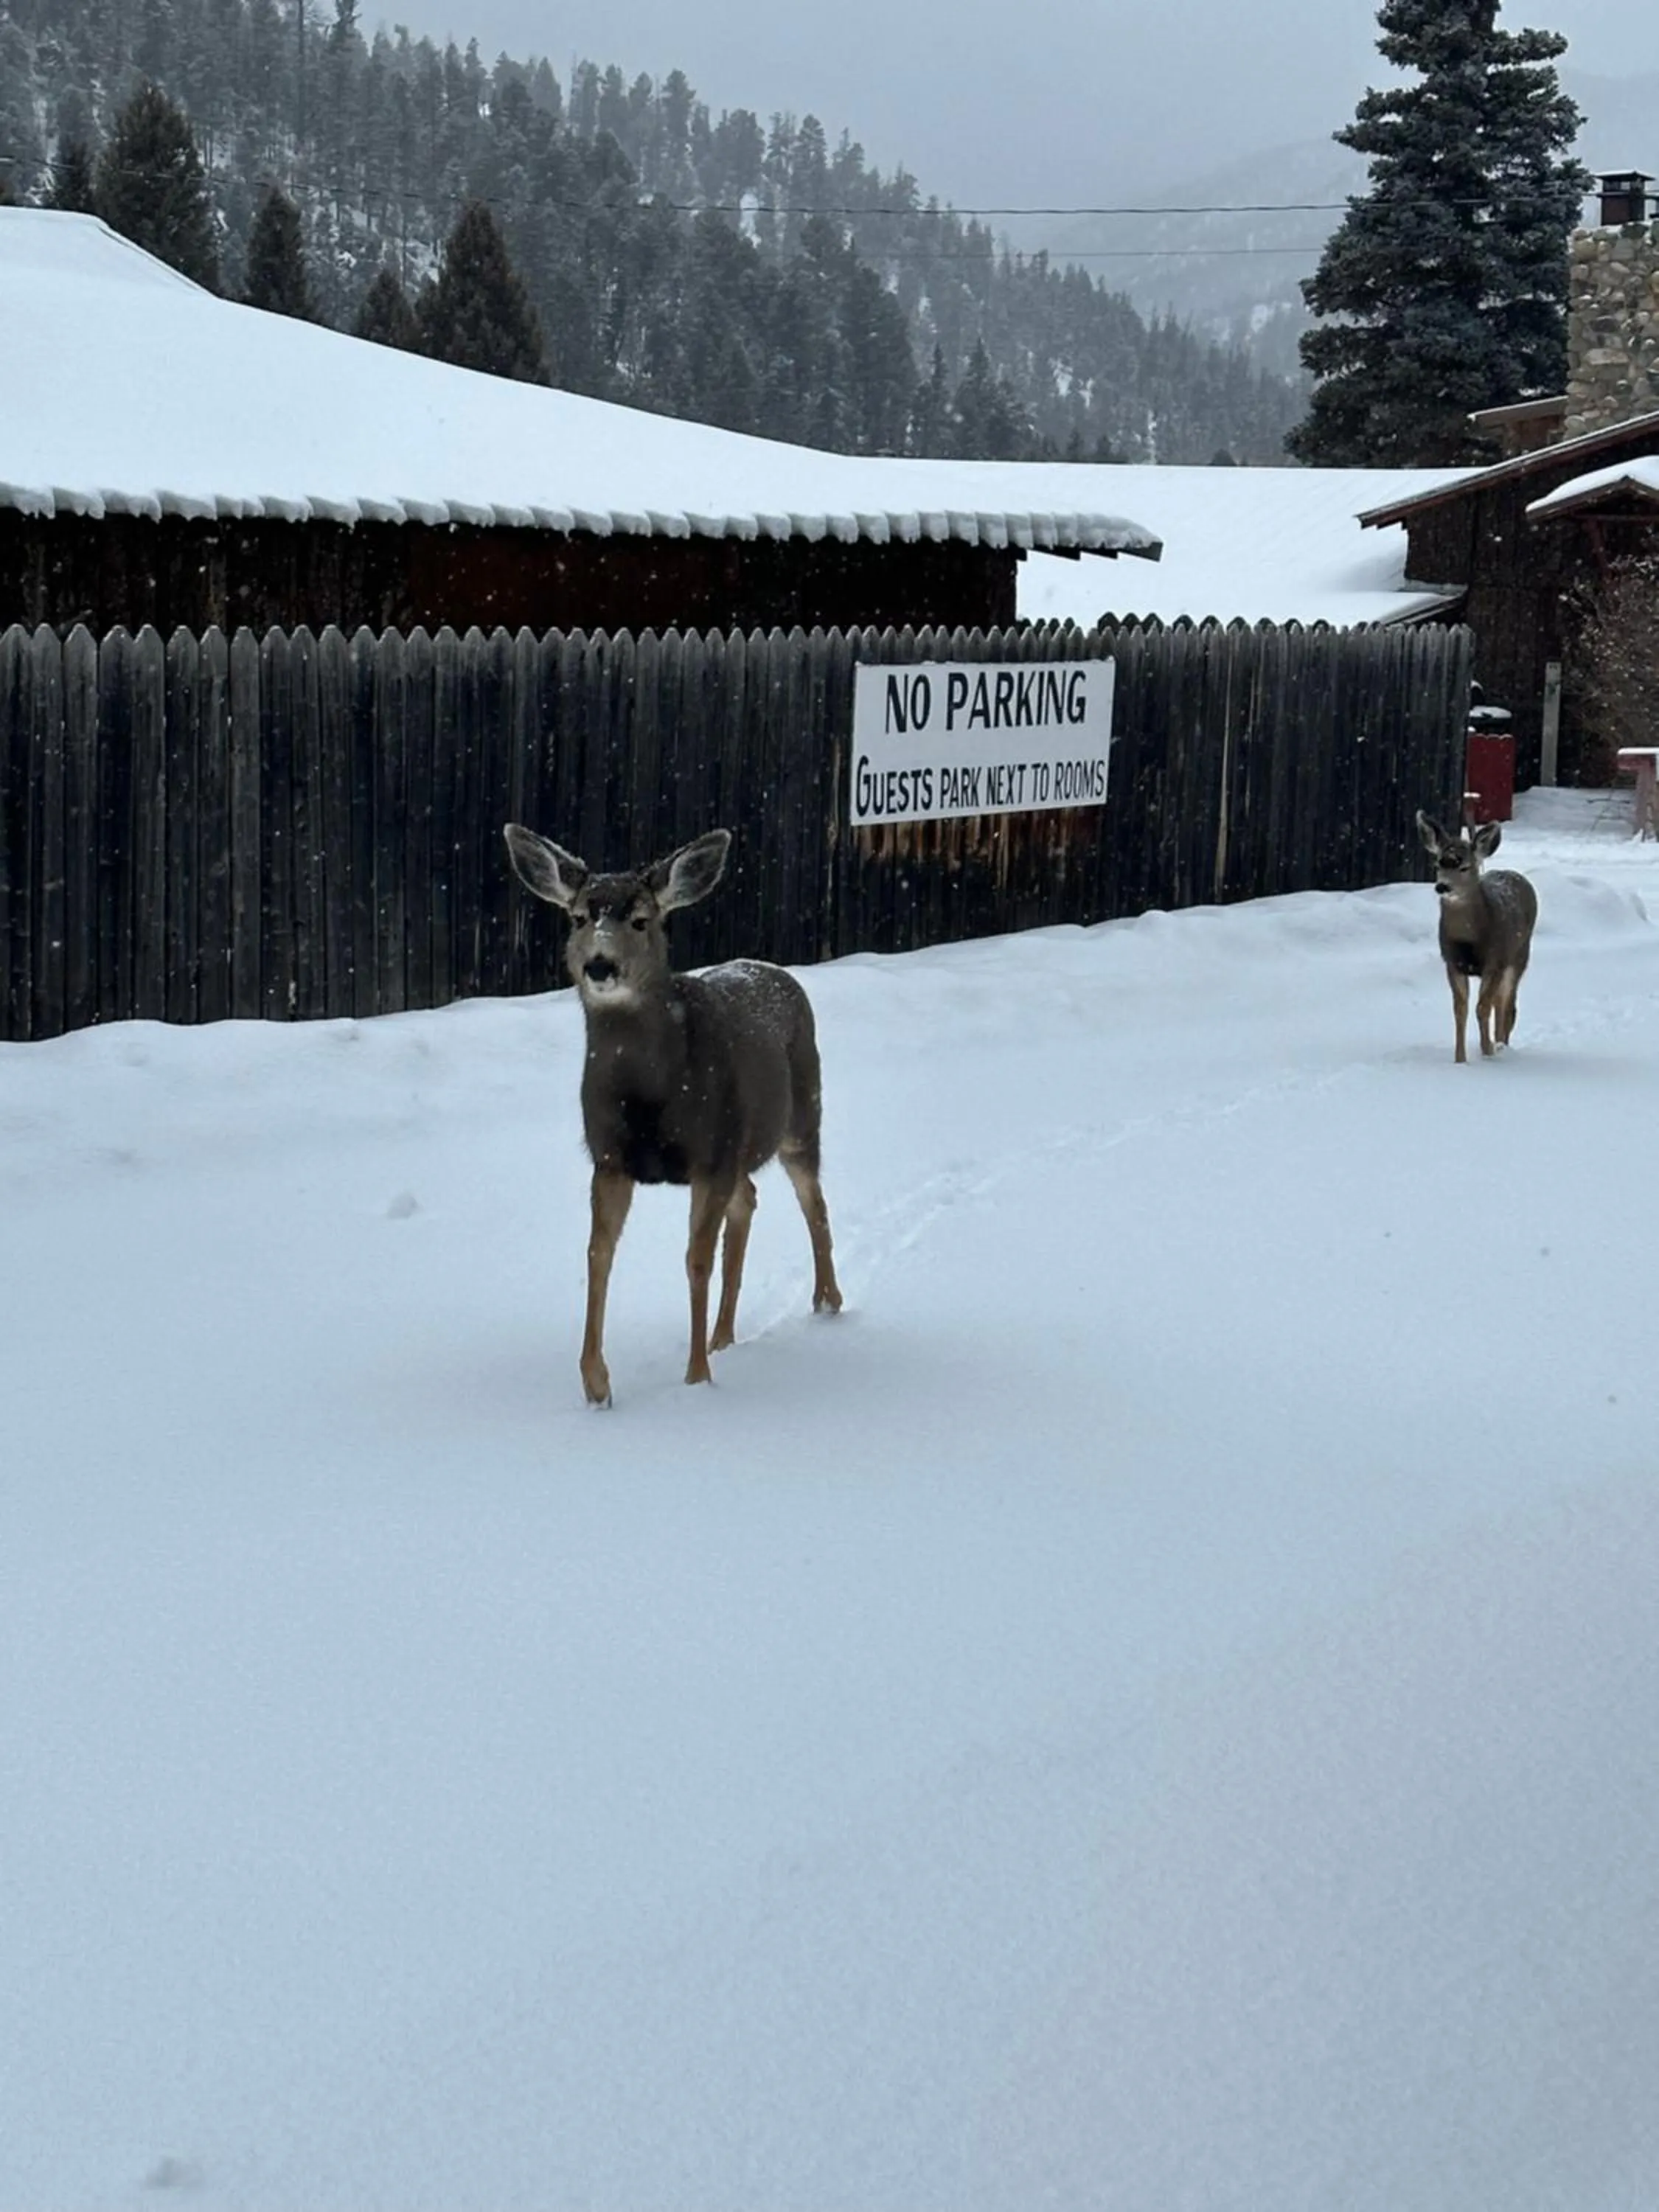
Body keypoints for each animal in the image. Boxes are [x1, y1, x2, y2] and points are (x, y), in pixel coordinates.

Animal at [503, 823, 843, 1405]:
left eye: (642, 919)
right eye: (578, 917)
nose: (600, 965)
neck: (650, 1099)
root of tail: (775, 971)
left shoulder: (711, 1153)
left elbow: (695, 1259)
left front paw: (696, 1376)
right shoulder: (610, 1158)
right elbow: (597, 1255)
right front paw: (596, 1384)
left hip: (801, 1116)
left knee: (813, 1201)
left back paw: (826, 1301)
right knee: (750, 1199)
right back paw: (725, 1336)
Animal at [1416, 811, 1539, 1063]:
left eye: (1464, 867)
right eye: (1437, 863)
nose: (1442, 887)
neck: (1469, 941)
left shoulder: (1495, 960)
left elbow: (1482, 1007)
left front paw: (1488, 1053)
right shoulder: (1452, 962)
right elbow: (1460, 1010)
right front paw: (1460, 1060)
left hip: (1519, 954)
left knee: (1505, 1004)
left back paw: (1502, 1046)